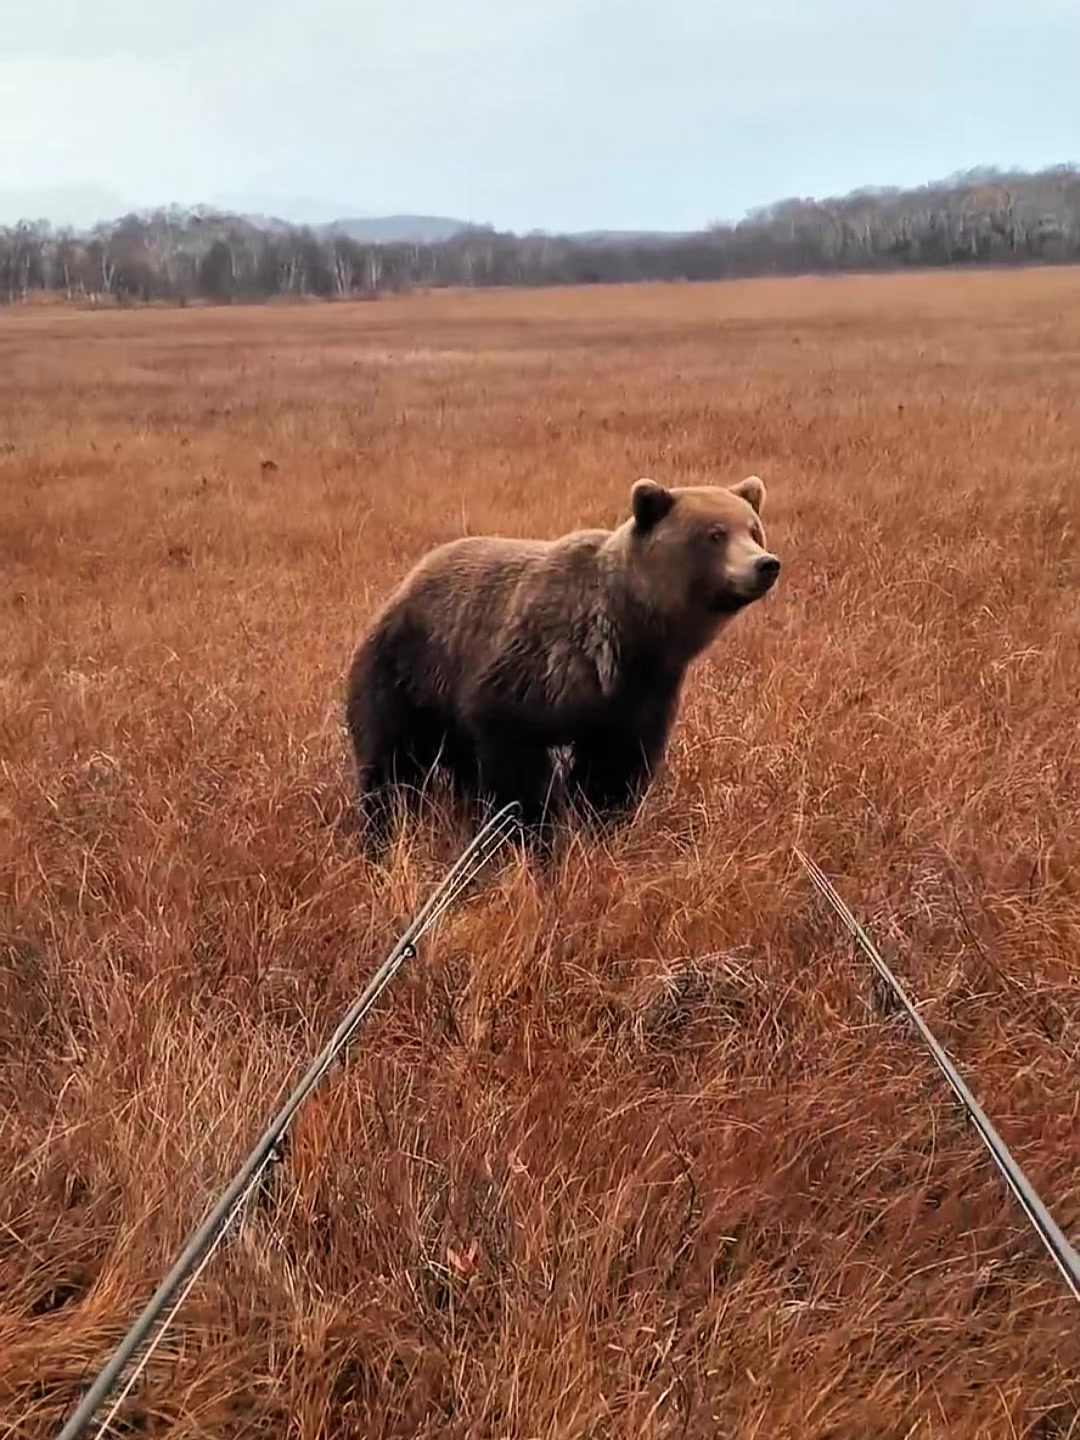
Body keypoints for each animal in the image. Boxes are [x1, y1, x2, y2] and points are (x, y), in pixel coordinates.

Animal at [347, 472, 777, 840]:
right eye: (715, 534)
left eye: (753, 529)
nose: (765, 564)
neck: (635, 631)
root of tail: (404, 585)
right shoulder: (535, 670)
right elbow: (518, 767)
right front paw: (534, 830)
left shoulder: (640, 696)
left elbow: (614, 769)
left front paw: (600, 824)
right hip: (408, 673)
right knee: (392, 763)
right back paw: (383, 827)